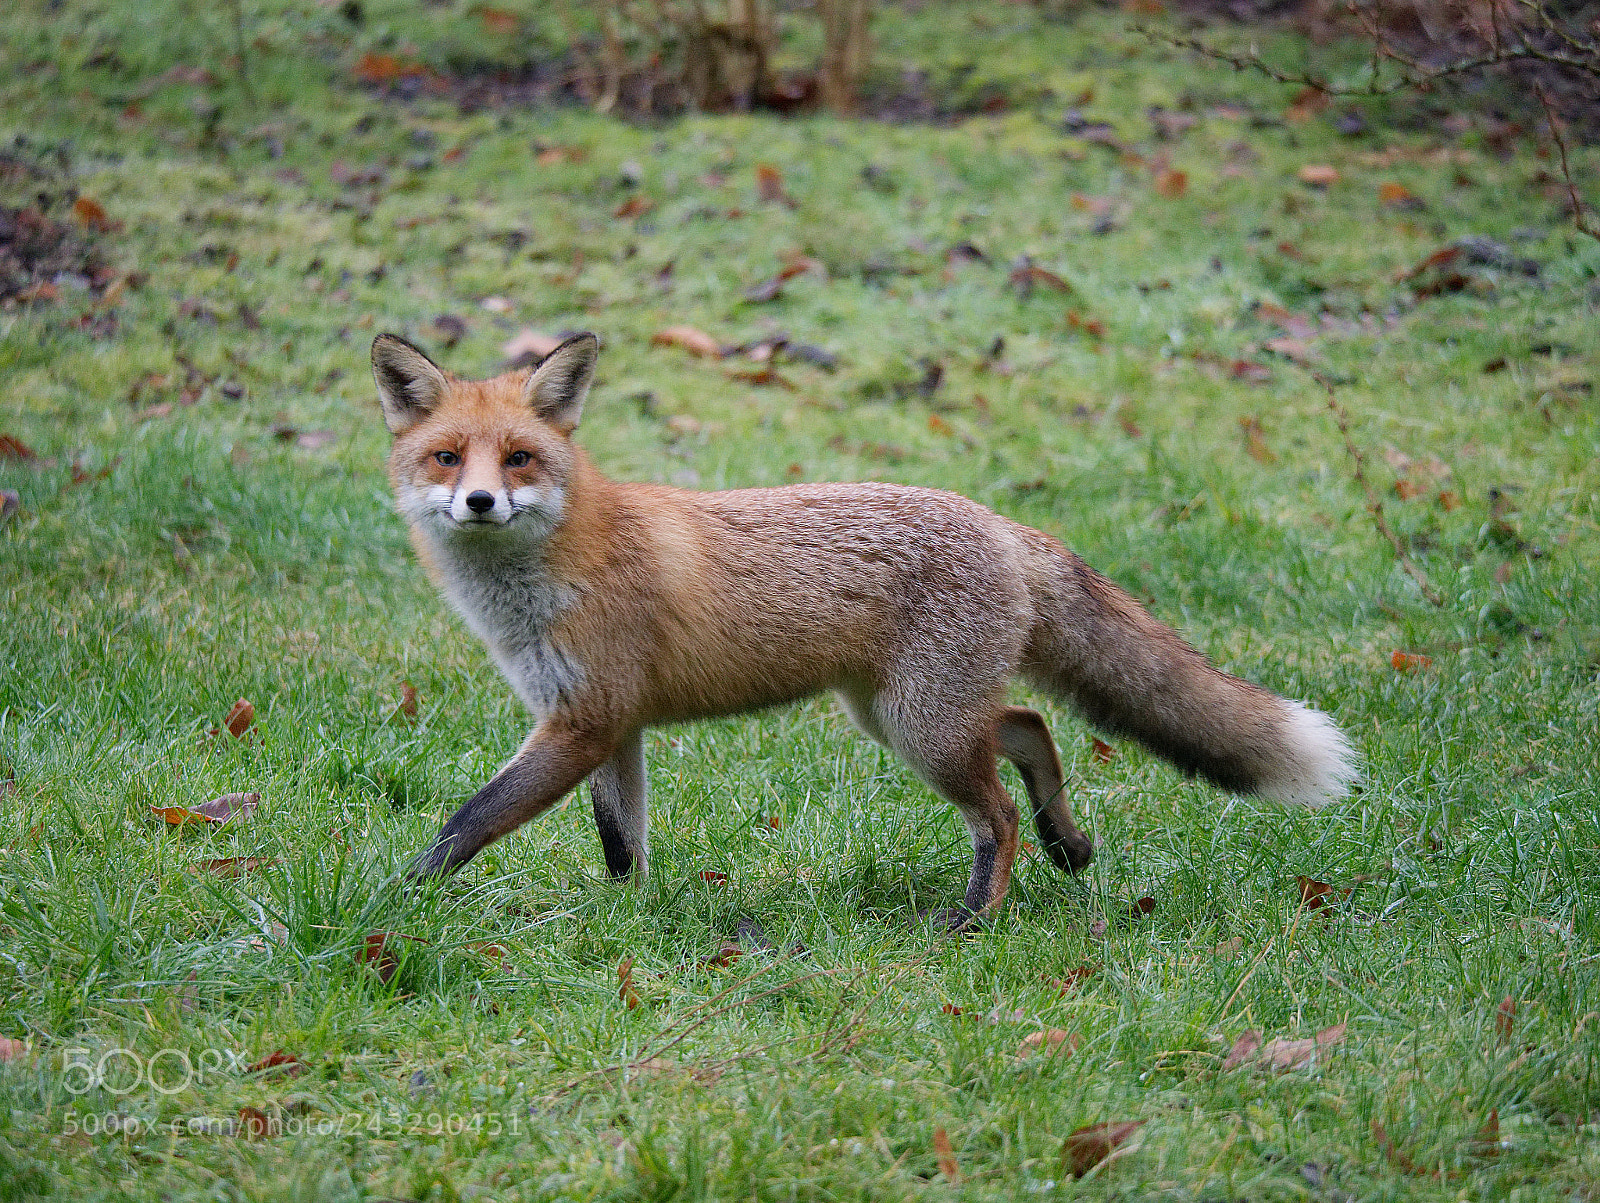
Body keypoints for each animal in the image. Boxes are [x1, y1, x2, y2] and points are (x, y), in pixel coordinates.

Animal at [372, 330, 1355, 928]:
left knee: (996, 809)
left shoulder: (582, 720)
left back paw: (977, 917)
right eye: (447, 457)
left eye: (520, 459)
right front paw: (628, 918)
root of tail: (1001, 521)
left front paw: (394, 897)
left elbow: (468, 820)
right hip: (900, 713)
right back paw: (1067, 843)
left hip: (921, 726)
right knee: (1030, 725)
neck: (546, 578)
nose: (479, 501)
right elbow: (623, 841)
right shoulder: (609, 722)